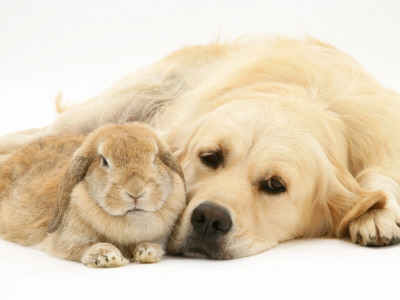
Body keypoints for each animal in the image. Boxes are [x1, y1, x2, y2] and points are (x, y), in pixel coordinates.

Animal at [0, 122, 186, 268]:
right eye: (104, 160)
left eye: (155, 159)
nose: (135, 192)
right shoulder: (66, 242)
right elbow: (81, 248)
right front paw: (108, 257)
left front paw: (148, 251)